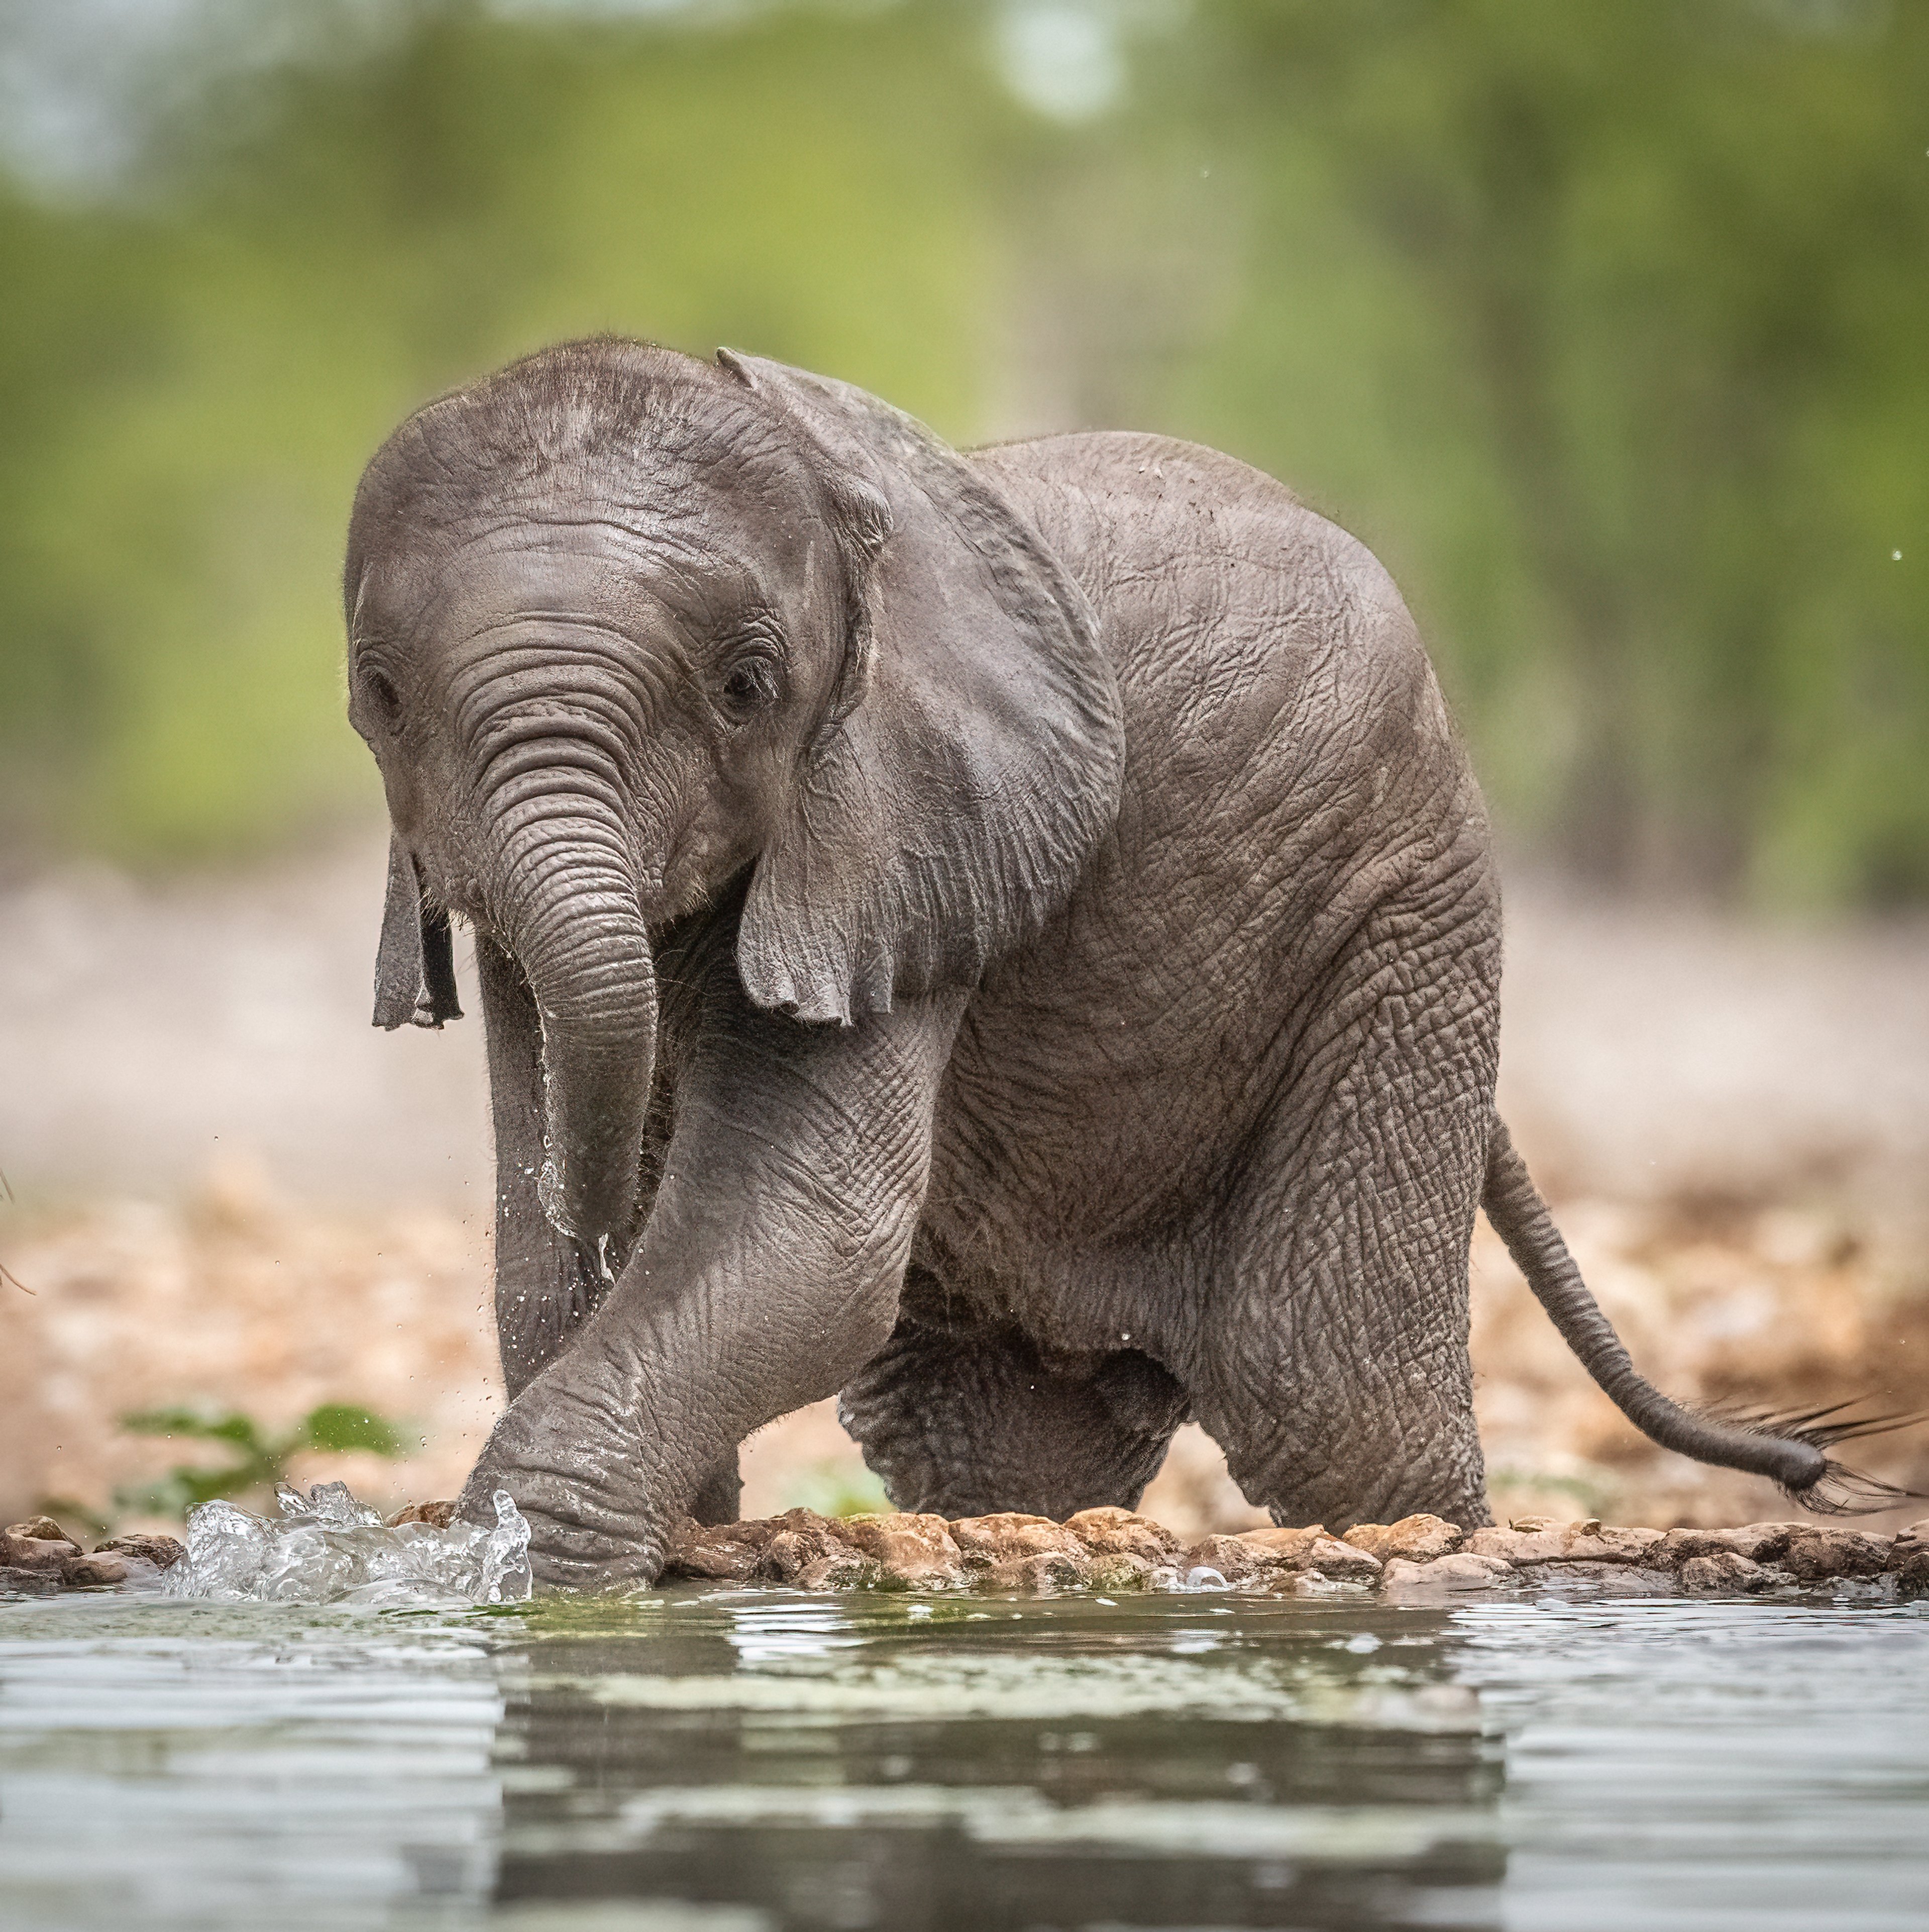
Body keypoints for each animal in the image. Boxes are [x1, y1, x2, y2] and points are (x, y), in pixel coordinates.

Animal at [347, 340, 1884, 1584]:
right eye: (379, 696)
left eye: (746, 686)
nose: (617, 1200)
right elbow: (538, 1262)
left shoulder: (913, 829)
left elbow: (805, 1237)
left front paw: (538, 1566)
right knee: (994, 1435)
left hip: (1402, 900)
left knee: (1331, 1399)